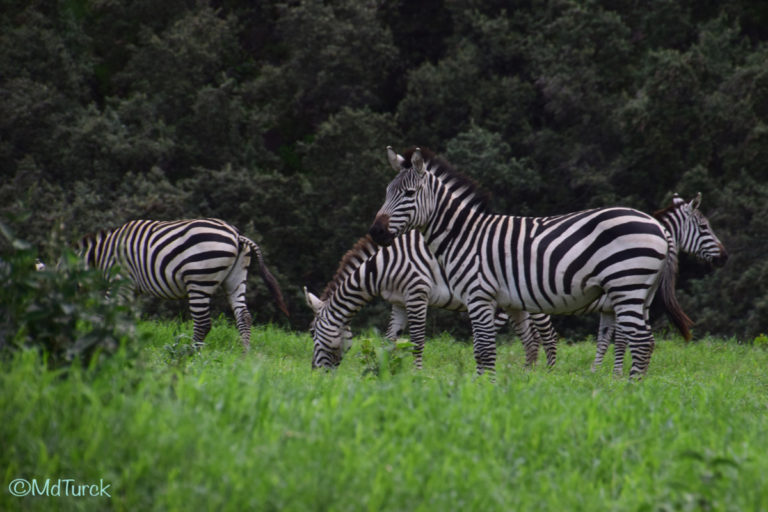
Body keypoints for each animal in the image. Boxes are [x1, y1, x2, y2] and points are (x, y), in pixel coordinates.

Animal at [78, 218, 288, 350]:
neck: (102, 253)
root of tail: (237, 236)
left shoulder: (120, 282)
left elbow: (105, 314)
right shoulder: (131, 289)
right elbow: (124, 318)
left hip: (199, 280)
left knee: (203, 323)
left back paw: (190, 355)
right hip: (236, 279)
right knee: (244, 316)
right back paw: (244, 355)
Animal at [302, 231, 560, 368]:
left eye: (312, 332)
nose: (315, 373)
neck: (381, 267)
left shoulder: (417, 293)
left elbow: (417, 341)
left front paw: (417, 376)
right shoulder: (398, 302)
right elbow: (389, 340)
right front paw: (384, 373)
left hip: (533, 295)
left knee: (549, 336)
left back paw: (548, 376)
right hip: (515, 303)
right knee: (531, 340)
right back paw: (526, 377)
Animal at [360, 146, 684, 378]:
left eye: (408, 194)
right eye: (387, 192)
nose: (376, 232)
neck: (463, 235)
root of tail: (659, 226)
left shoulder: (480, 296)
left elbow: (484, 351)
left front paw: (483, 392)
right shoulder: (499, 301)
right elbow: (498, 350)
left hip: (627, 284)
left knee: (641, 342)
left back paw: (630, 391)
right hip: (641, 293)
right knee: (645, 341)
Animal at [588, 191, 728, 372]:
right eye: (704, 227)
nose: (724, 257)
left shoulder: (609, 309)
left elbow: (604, 342)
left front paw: (595, 372)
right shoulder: (620, 303)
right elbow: (620, 341)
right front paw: (616, 374)